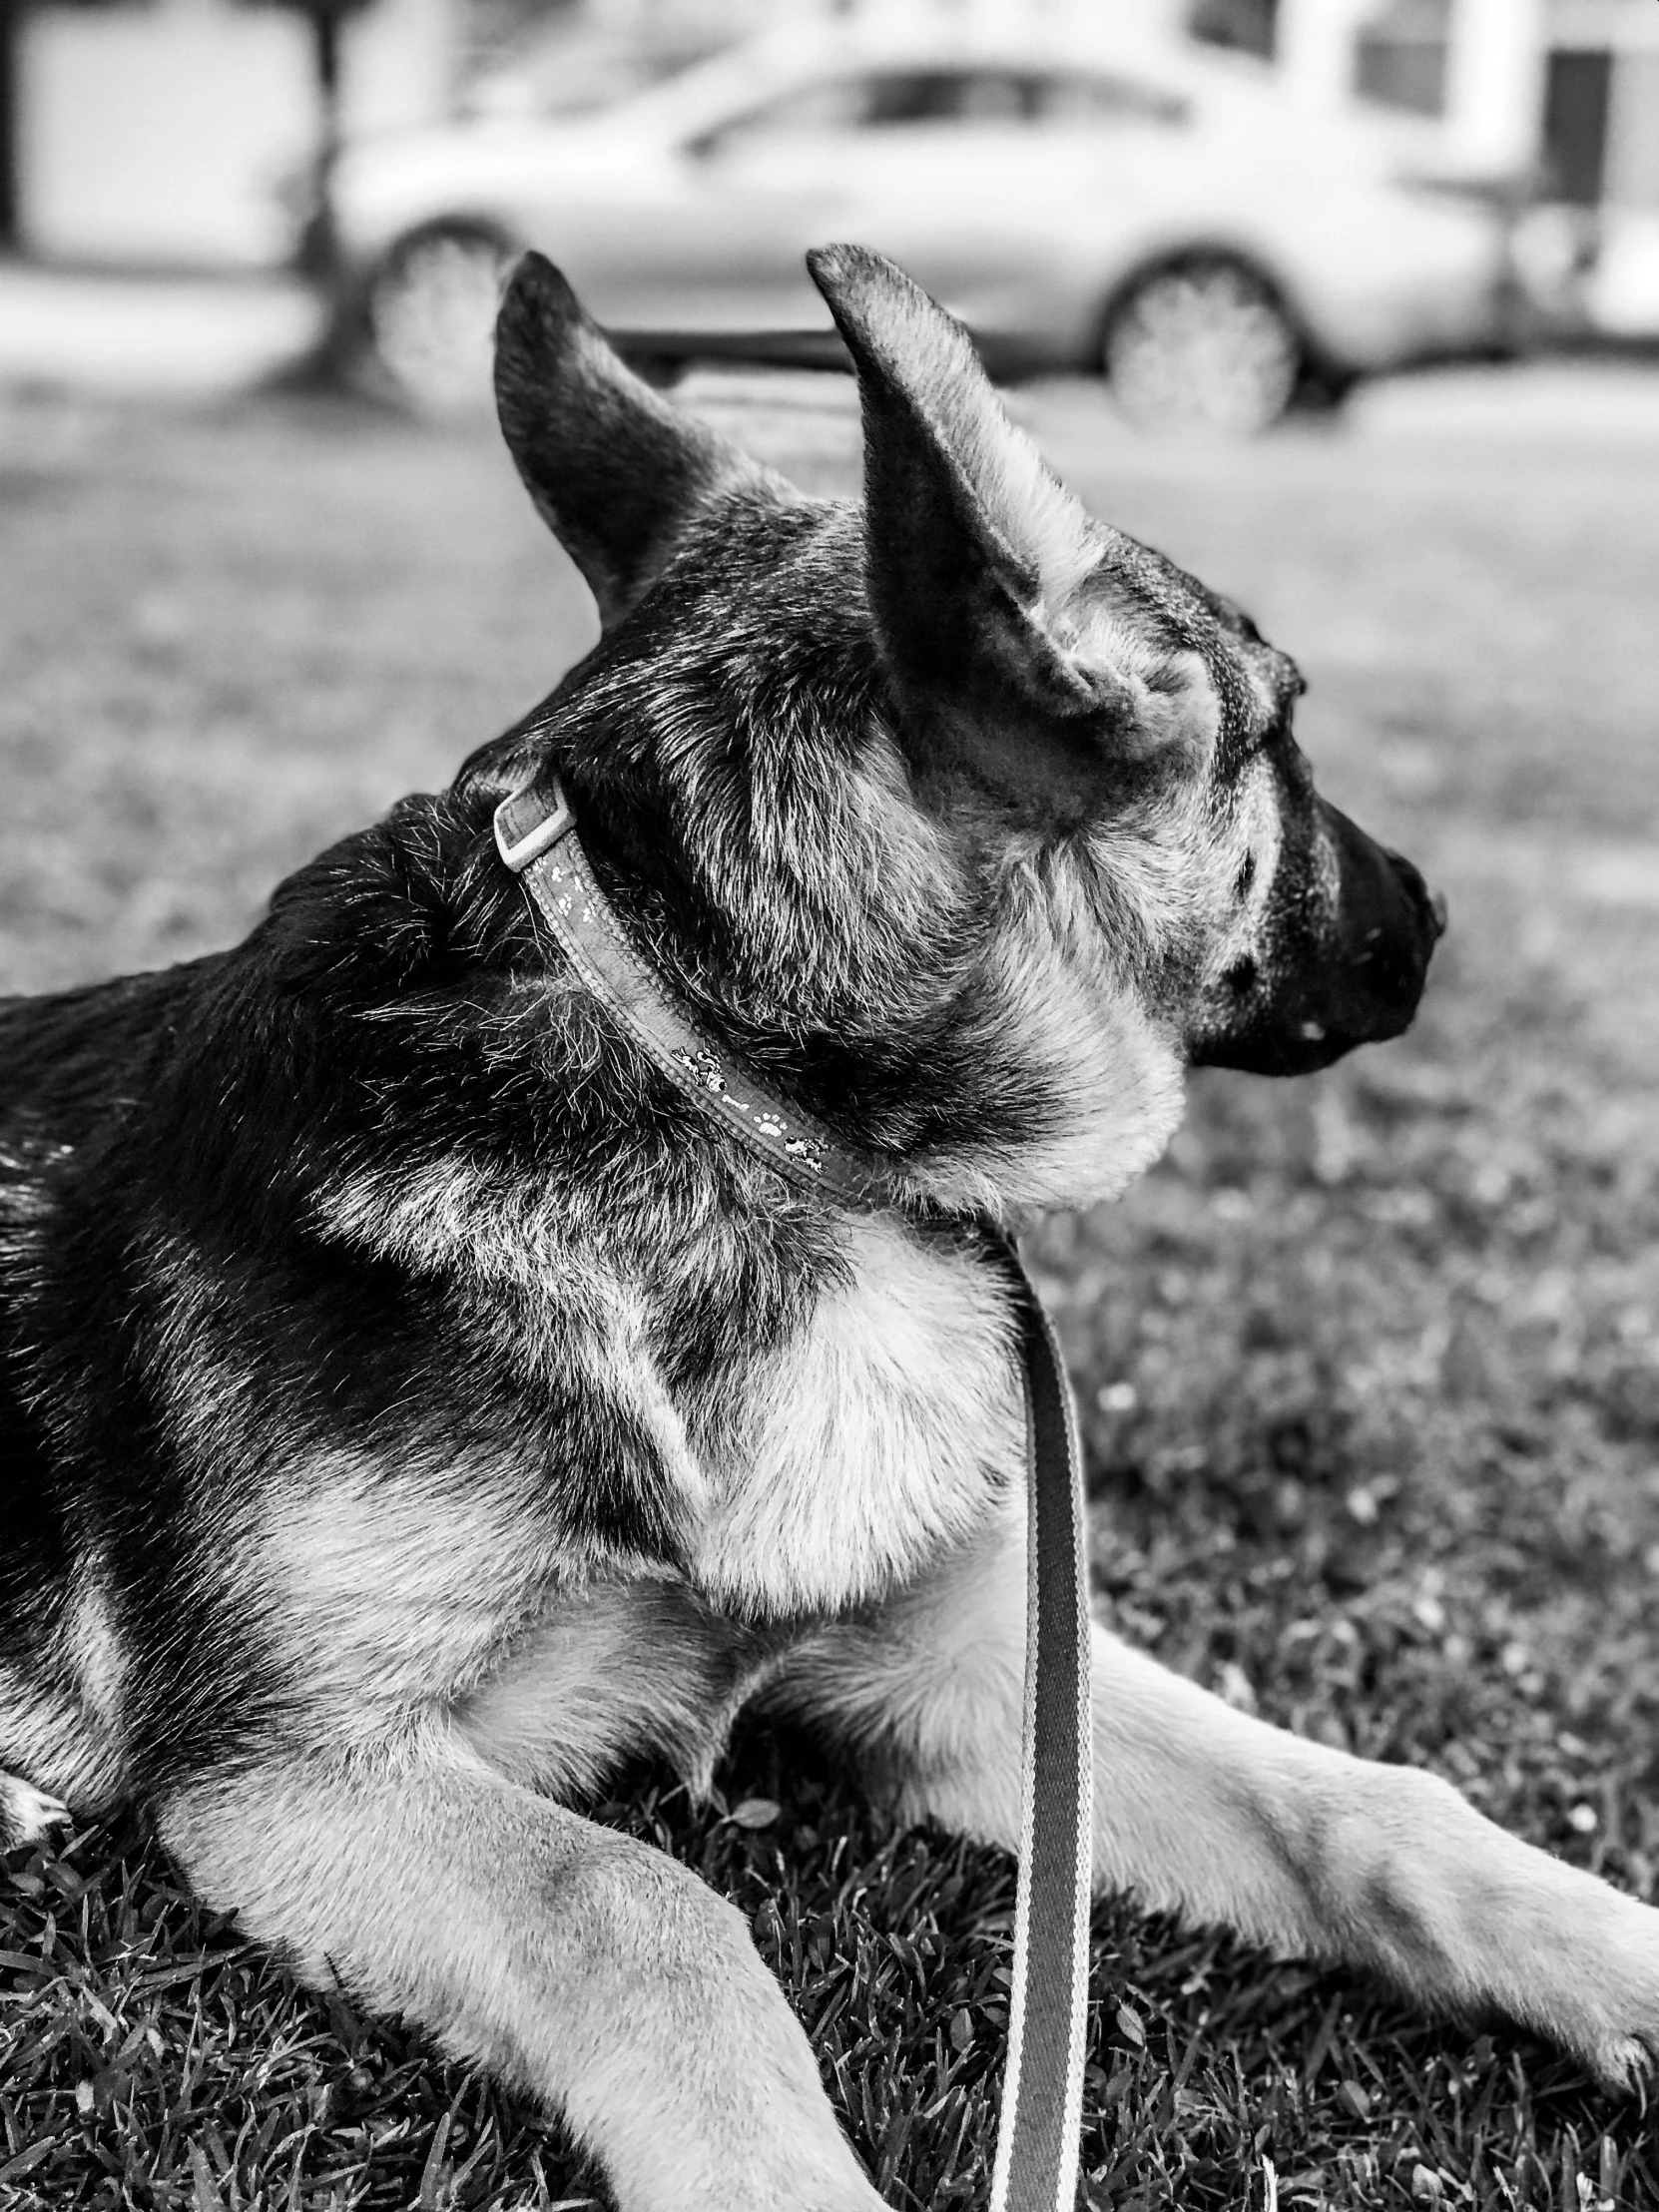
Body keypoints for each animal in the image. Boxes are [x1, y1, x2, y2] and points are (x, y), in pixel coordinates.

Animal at [0, 247, 1654, 2212]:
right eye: (1279, 732)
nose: (1436, 910)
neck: (723, 1085)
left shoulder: (974, 1676)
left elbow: (1367, 1800)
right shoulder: (289, 1762)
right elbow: (642, 1908)